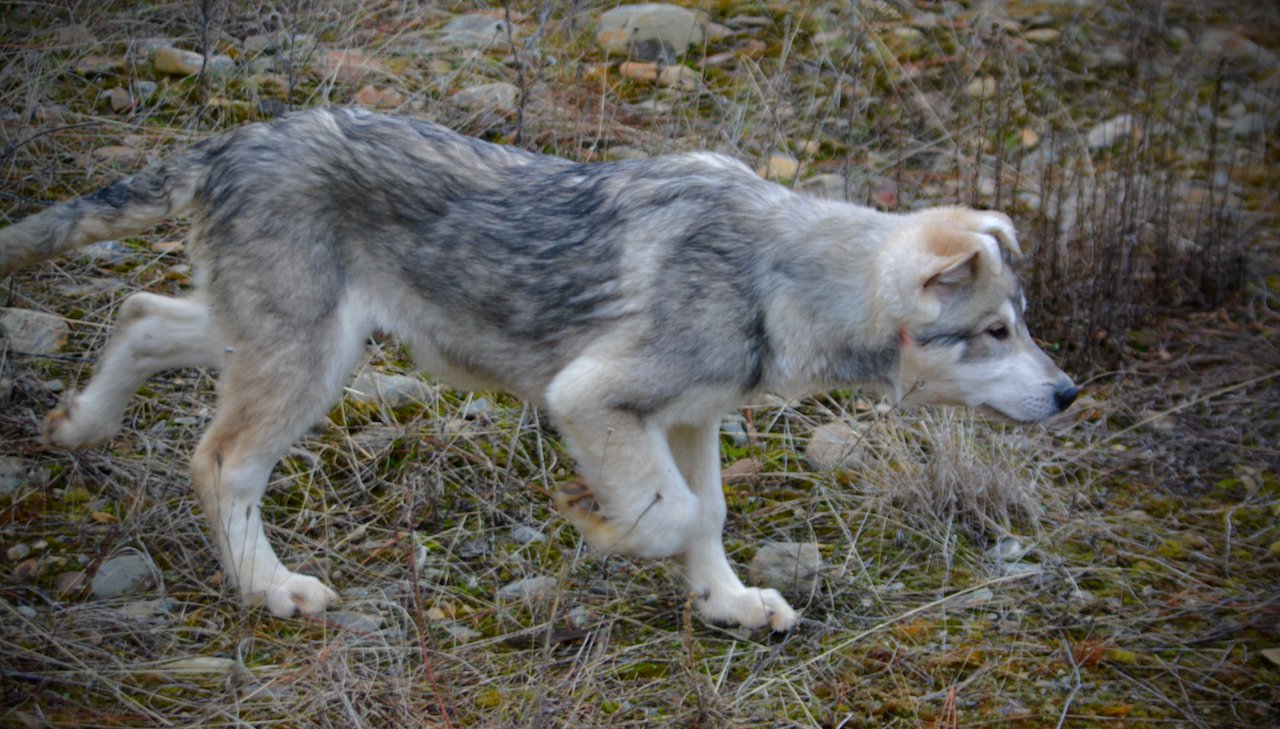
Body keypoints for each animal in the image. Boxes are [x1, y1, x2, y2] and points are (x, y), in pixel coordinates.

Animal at [0, 106, 1075, 624]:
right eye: (994, 331)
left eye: (1021, 326)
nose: (1069, 392)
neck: (778, 272)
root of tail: (227, 144)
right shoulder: (591, 399)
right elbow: (667, 515)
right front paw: (597, 527)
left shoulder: (690, 419)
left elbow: (709, 514)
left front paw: (726, 604)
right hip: (310, 359)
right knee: (222, 461)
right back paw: (272, 590)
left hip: (271, 335)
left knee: (143, 314)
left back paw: (76, 426)